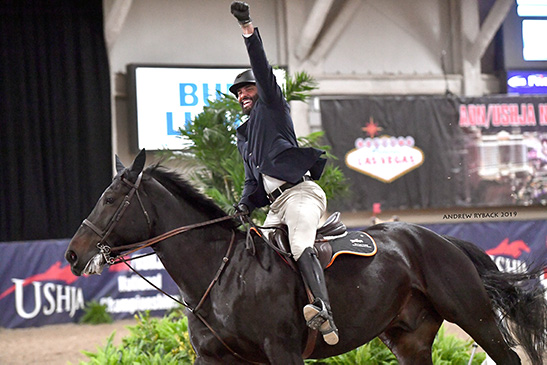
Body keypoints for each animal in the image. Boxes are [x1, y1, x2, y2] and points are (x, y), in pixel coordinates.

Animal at [65, 149, 547, 362]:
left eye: (110, 199)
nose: (72, 254)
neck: (221, 277)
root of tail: (440, 240)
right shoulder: (214, 358)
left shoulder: (282, 352)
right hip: (408, 340)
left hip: (475, 318)